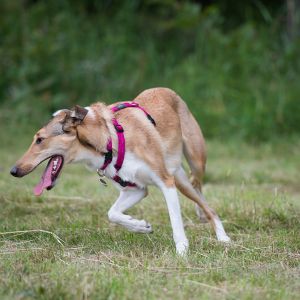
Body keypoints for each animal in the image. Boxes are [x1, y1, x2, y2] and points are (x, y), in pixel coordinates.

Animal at [9, 87, 230, 255]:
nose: (13, 170)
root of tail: (167, 90)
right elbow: (112, 213)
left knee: (203, 196)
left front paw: (182, 251)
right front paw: (140, 226)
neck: (108, 142)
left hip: (191, 164)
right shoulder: (135, 189)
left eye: (39, 139)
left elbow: (176, 222)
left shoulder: (166, 182)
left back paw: (221, 235)